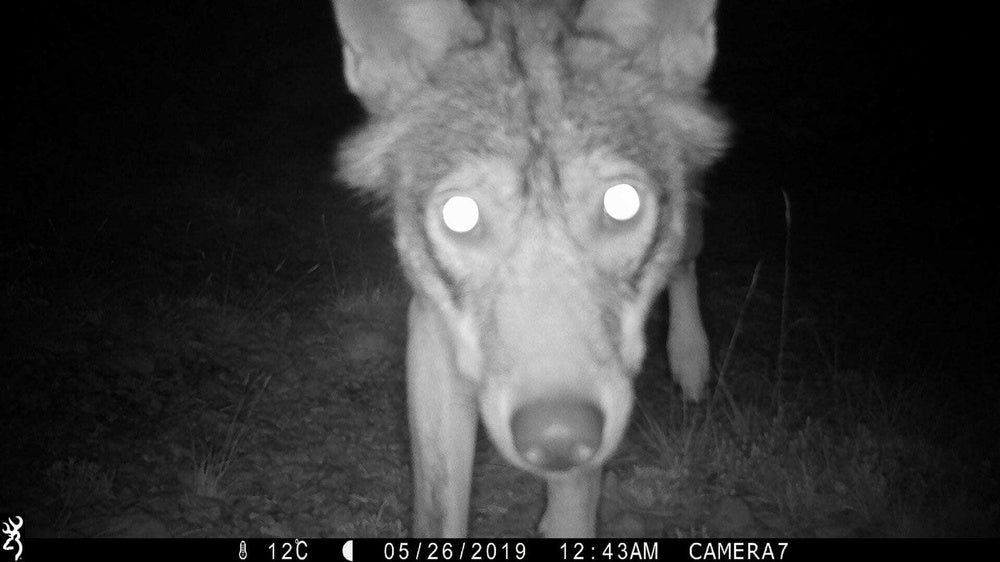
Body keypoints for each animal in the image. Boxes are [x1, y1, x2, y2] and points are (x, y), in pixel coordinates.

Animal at [330, 0, 728, 532]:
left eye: (622, 203)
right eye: (459, 214)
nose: (558, 437)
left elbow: (576, 499)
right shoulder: (433, 330)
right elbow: (439, 510)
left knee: (685, 259)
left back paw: (690, 358)